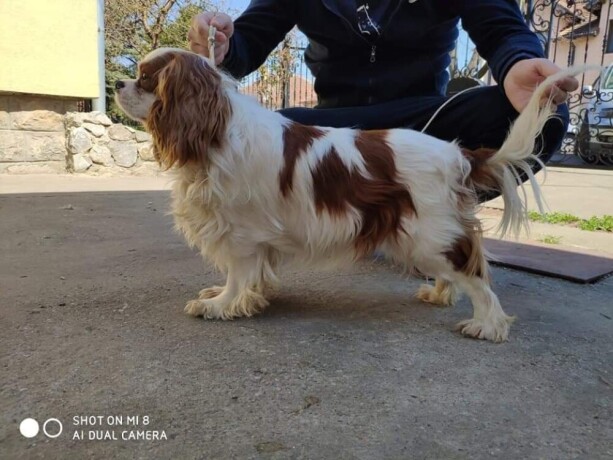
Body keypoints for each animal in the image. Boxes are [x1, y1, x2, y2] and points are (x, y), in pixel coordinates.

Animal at [113, 46, 572, 342]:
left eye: (147, 78)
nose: (117, 81)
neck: (216, 129)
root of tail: (456, 152)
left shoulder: (241, 234)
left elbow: (238, 274)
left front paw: (221, 305)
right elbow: (247, 276)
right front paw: (235, 297)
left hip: (427, 233)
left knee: (476, 275)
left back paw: (488, 326)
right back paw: (439, 294)